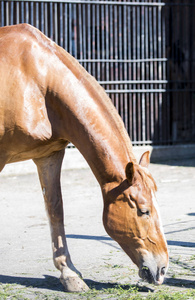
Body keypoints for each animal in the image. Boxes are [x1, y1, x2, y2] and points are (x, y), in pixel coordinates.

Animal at [0, 24, 168, 292]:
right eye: (144, 211)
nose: (162, 270)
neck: (36, 80)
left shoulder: (48, 155)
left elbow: (55, 210)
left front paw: (69, 273)